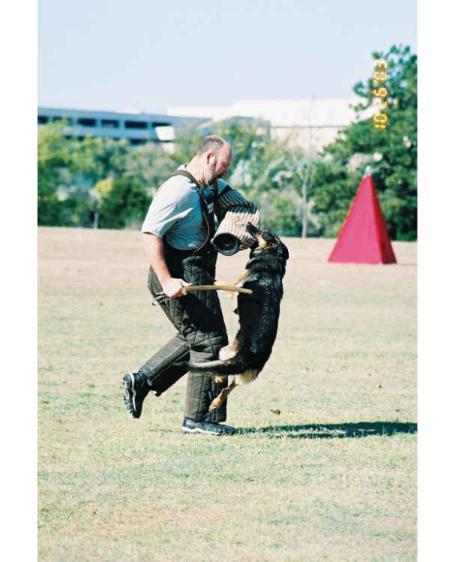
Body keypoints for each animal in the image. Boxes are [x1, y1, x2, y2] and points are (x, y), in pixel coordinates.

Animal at [187, 223, 290, 412]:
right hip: (246, 375)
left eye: (262, 232)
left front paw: (209, 279)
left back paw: (218, 380)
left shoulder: (235, 287)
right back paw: (216, 402)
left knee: (223, 370)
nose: (249, 224)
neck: (272, 259)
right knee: (229, 387)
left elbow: (220, 282)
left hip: (226, 350)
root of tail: (250, 356)